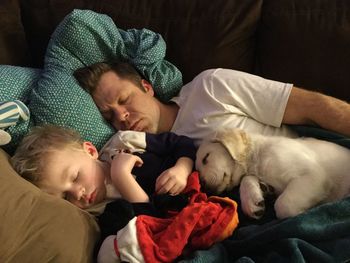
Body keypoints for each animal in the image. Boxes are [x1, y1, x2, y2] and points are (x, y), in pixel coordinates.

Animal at [196, 129, 350, 220]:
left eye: (206, 158)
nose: (202, 185)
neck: (259, 155)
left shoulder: (314, 174)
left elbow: (283, 205)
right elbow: (246, 179)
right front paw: (253, 200)